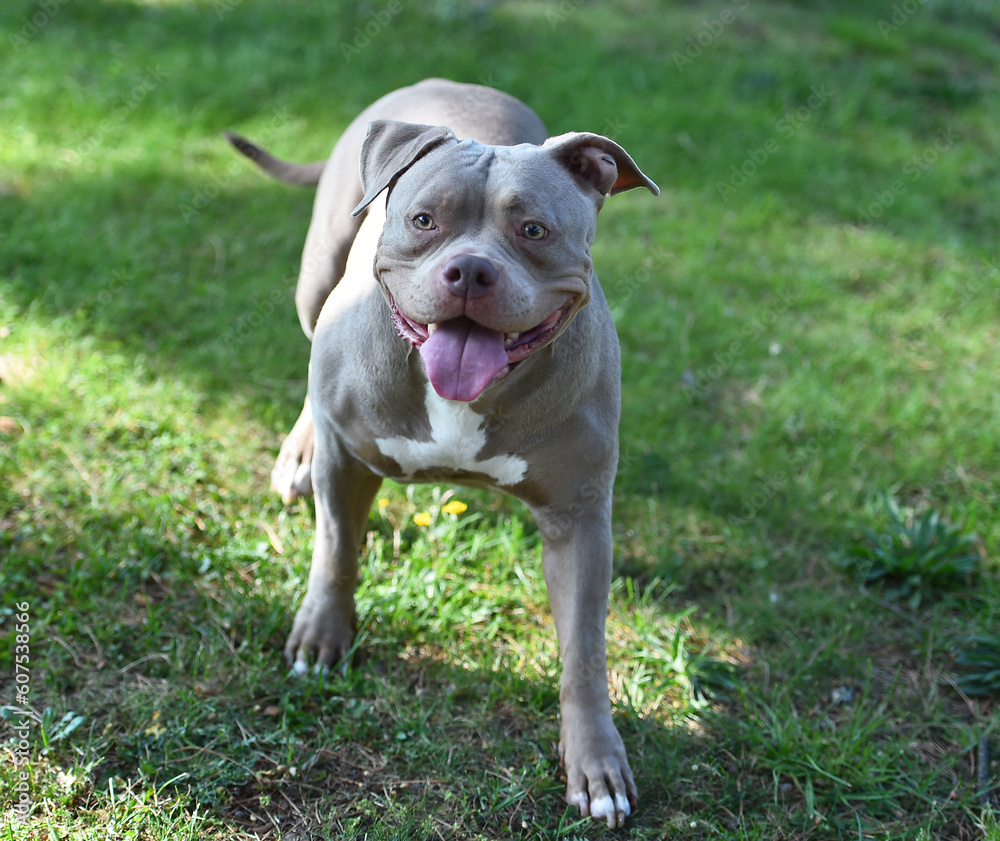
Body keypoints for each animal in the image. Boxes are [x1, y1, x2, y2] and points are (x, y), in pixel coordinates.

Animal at [230, 79, 660, 828]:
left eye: (534, 230)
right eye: (425, 220)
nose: (470, 271)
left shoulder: (578, 518)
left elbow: (583, 651)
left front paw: (596, 762)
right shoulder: (349, 458)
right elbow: (335, 549)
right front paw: (323, 634)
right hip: (316, 281)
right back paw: (299, 454)